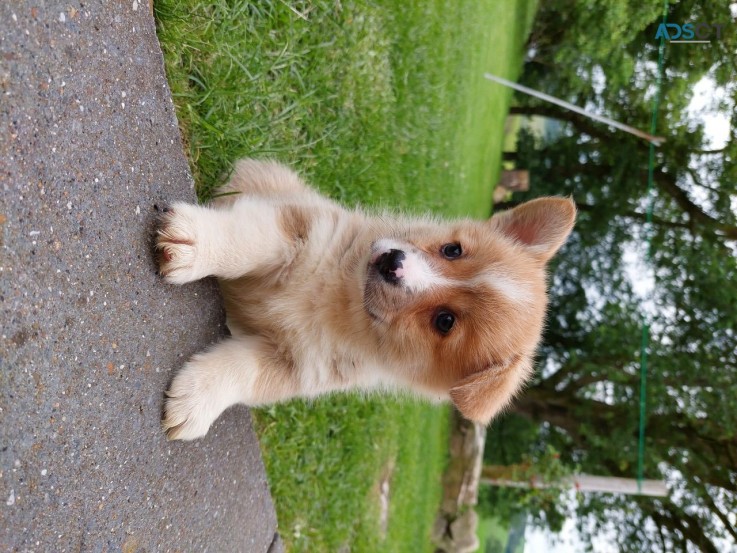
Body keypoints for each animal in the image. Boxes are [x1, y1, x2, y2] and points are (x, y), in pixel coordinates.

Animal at [154, 160, 576, 440]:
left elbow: (241, 372)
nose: (392, 262)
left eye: (445, 321)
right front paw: (192, 243)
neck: (340, 298)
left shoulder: (296, 367)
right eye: (453, 249)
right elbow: (247, 240)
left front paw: (194, 403)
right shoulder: (301, 228)